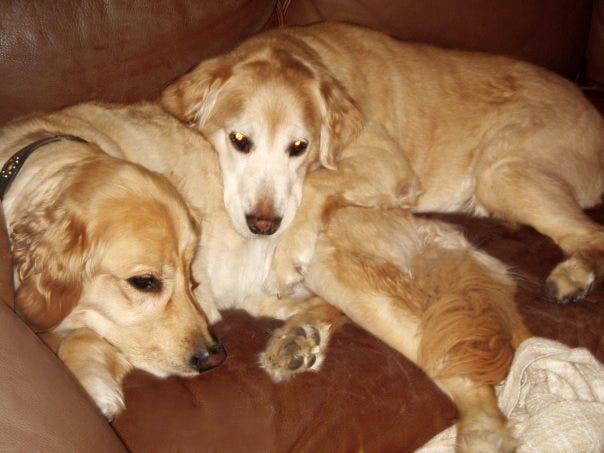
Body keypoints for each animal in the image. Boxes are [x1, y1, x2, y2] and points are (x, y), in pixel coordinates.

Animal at [160, 20, 604, 304]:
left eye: (299, 147)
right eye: (238, 140)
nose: (263, 225)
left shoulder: (389, 161)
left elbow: (317, 183)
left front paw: (286, 261)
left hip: (501, 172)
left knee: (593, 235)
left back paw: (571, 278)